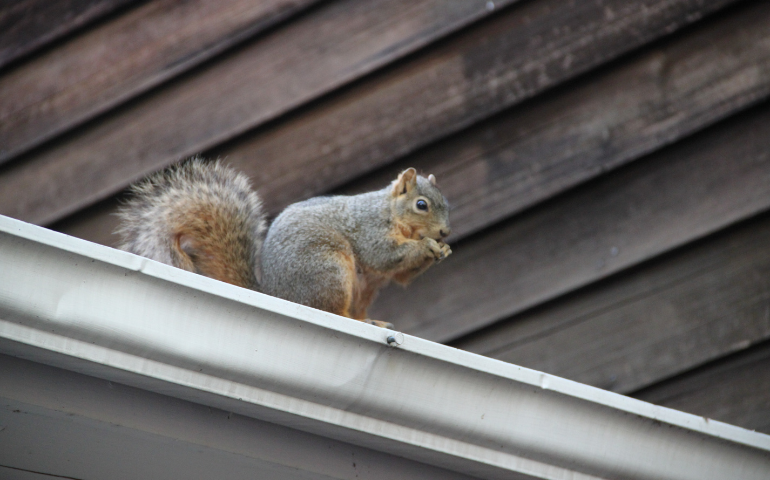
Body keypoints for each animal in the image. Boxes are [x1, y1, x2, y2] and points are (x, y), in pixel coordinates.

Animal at [116, 157, 452, 328]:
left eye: (446, 203)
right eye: (421, 205)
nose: (445, 233)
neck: (390, 213)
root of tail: (277, 294)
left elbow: (401, 275)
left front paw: (443, 251)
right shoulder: (369, 228)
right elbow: (384, 256)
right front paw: (427, 247)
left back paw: (372, 322)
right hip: (328, 270)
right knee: (330, 310)